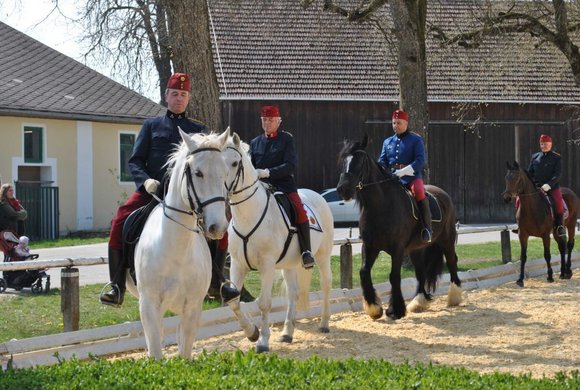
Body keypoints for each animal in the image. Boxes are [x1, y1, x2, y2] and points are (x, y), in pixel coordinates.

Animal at [125, 129, 230, 358]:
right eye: (198, 173)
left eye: (225, 173)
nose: (217, 227)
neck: (176, 251)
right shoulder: (149, 306)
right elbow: (155, 352)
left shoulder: (192, 308)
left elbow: (184, 354)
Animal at [222, 131, 334, 354]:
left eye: (234, 163)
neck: (249, 214)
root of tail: (317, 195)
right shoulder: (238, 264)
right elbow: (234, 301)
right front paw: (251, 332)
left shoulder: (266, 265)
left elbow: (264, 303)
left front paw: (263, 342)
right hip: (289, 264)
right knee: (293, 294)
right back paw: (287, 333)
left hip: (322, 255)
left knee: (326, 284)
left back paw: (324, 323)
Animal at [336, 136, 462, 322]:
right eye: (343, 160)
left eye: (360, 161)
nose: (343, 189)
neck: (381, 206)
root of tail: (443, 193)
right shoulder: (370, 246)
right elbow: (364, 272)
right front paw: (374, 308)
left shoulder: (397, 248)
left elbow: (394, 276)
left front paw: (395, 310)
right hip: (416, 248)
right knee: (420, 271)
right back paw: (419, 302)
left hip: (446, 239)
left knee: (452, 261)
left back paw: (454, 297)